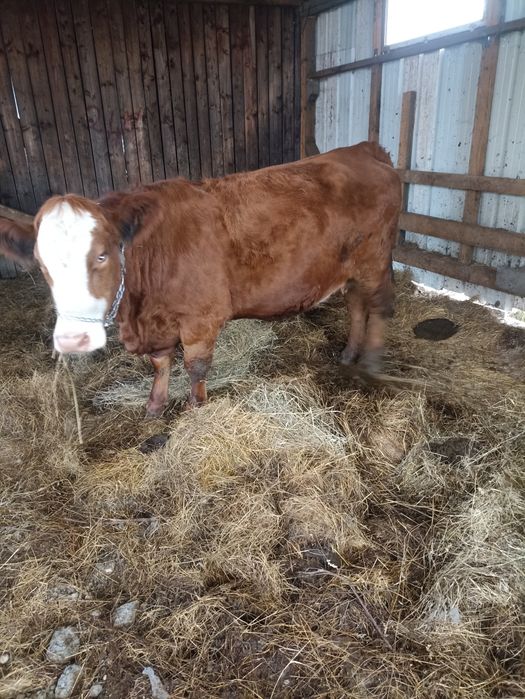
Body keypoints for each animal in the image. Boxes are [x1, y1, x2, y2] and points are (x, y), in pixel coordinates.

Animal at [0, 142, 401, 416]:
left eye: (102, 254)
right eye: (42, 264)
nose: (73, 340)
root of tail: (363, 149)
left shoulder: (201, 318)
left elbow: (195, 367)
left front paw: (196, 410)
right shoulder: (159, 323)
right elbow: (161, 362)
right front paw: (154, 405)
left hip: (376, 260)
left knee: (379, 305)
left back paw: (371, 363)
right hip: (350, 266)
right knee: (356, 303)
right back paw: (349, 353)